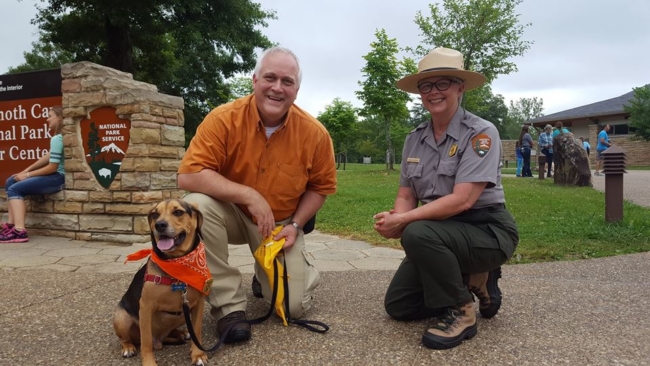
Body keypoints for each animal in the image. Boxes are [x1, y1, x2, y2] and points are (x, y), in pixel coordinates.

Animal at [112, 200, 209, 366]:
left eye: (178, 212)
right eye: (155, 214)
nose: (160, 225)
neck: (177, 263)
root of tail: (160, 339)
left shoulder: (198, 304)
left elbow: (196, 331)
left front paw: (198, 354)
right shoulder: (145, 306)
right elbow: (146, 342)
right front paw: (149, 362)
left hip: (183, 315)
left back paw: (182, 333)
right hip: (121, 318)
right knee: (128, 339)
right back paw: (128, 347)